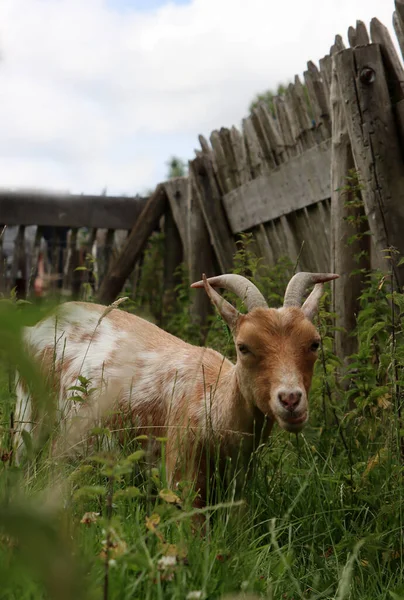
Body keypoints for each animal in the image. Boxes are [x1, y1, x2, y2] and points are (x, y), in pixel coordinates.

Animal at [14, 272, 338, 506]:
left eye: (314, 343)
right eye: (243, 347)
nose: (291, 399)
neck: (211, 399)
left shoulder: (239, 478)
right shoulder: (181, 472)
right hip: (28, 408)